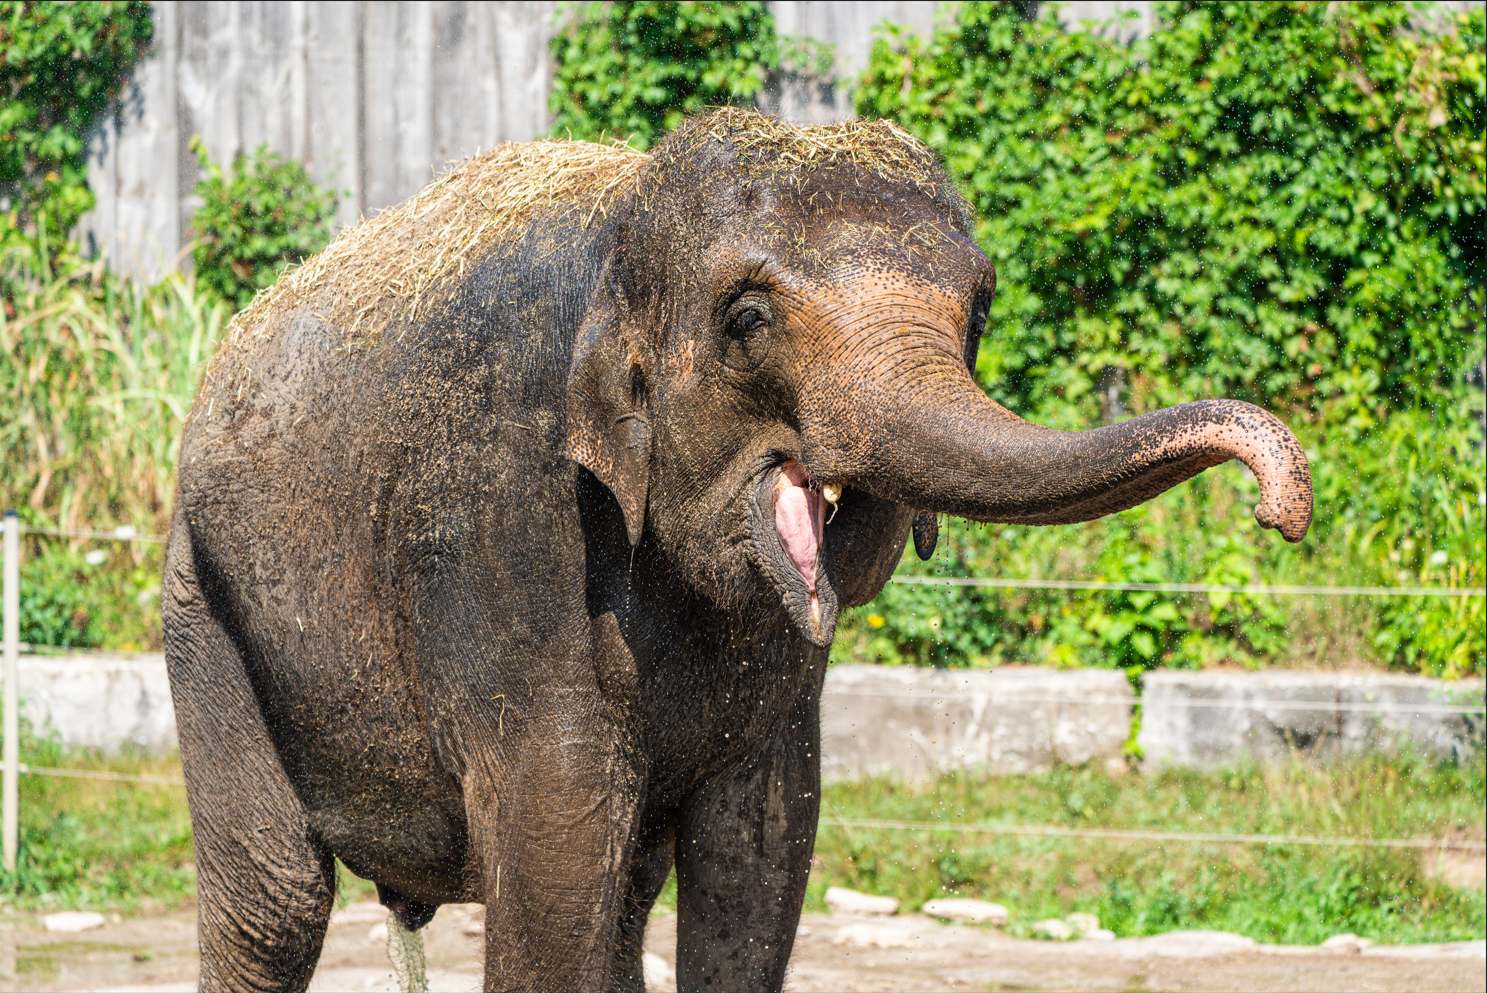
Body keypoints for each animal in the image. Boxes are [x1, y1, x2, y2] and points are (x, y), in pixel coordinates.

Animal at [163, 109, 1312, 993]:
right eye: (748, 317)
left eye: (980, 308)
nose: (1279, 510)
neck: (621, 236)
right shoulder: (505, 533)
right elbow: (554, 853)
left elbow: (760, 848)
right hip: (202, 604)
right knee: (275, 902)